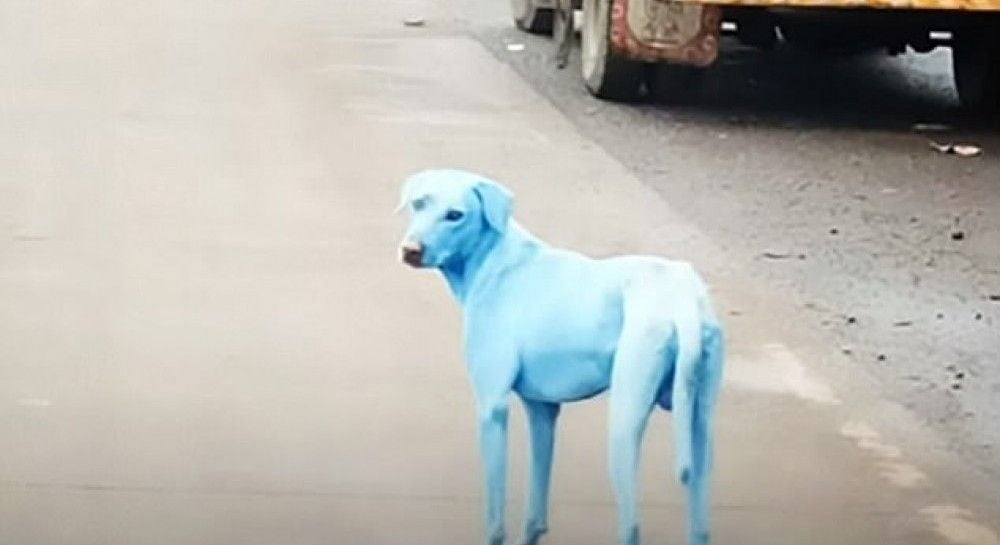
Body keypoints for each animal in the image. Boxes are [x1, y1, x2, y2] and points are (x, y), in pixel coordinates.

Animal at [398, 169, 728, 544]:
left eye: (455, 215)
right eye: (418, 203)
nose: (410, 251)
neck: (493, 259)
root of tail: (683, 298)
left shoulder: (492, 409)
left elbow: (495, 519)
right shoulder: (543, 411)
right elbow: (536, 512)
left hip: (624, 425)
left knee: (631, 526)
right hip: (701, 429)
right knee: (700, 526)